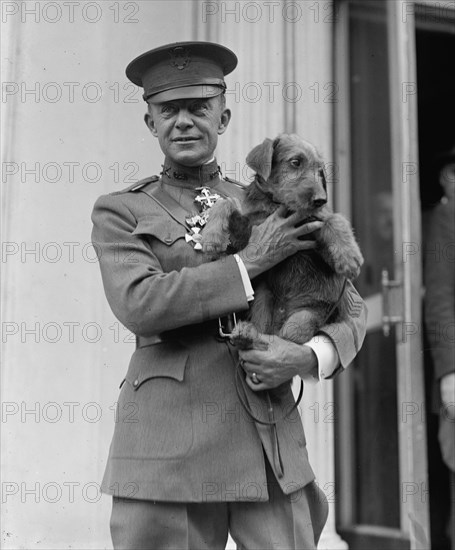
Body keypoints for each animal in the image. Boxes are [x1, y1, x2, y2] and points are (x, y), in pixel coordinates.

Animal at [200, 133, 364, 350]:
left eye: (319, 169)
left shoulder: (317, 227)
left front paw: (349, 257)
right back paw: (247, 334)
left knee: (287, 336)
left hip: (308, 316)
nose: (321, 199)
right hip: (263, 299)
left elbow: (335, 219)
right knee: (265, 332)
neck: (276, 204)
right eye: (295, 162)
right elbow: (225, 202)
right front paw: (211, 237)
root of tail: (282, 317)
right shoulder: (247, 231)